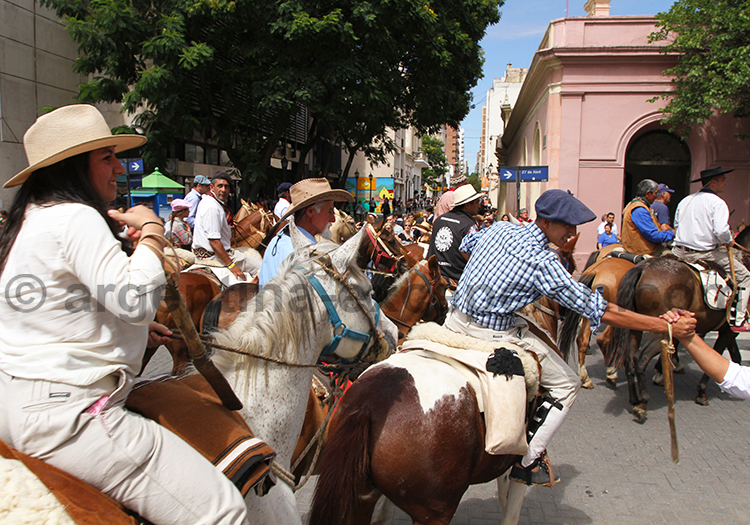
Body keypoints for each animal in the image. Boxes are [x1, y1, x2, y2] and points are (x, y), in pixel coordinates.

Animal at [308, 233, 582, 525]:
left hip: (362, 494)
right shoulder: (515, 464)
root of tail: (368, 407)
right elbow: (511, 509)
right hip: (435, 511)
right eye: (442, 287)